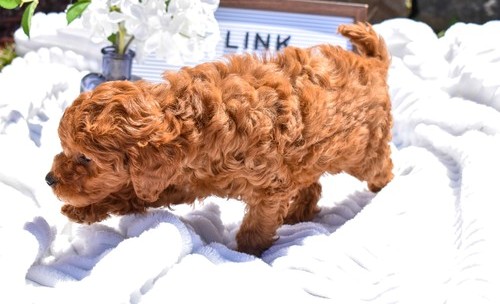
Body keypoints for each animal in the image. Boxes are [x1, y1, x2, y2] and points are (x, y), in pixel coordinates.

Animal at [45, 23, 392, 256]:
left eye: (85, 158)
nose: (50, 179)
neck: (194, 121)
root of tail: (373, 62)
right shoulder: (180, 181)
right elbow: (128, 195)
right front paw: (83, 210)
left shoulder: (271, 187)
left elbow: (257, 227)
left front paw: (245, 255)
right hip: (310, 155)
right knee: (312, 183)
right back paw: (299, 213)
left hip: (364, 151)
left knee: (382, 168)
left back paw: (384, 189)